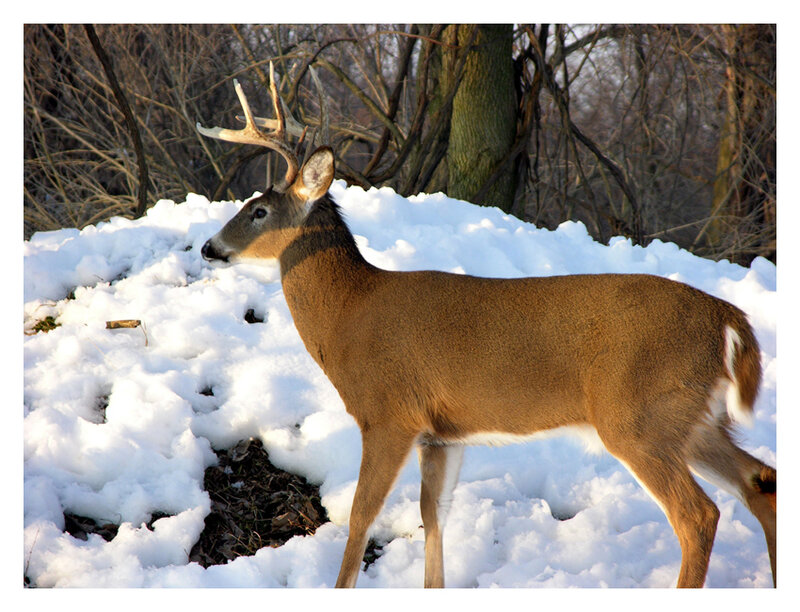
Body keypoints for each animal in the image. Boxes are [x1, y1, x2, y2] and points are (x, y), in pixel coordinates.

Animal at [196, 64, 776, 588]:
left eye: (259, 211)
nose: (208, 246)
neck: (349, 315)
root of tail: (729, 320)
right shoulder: (441, 434)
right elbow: (433, 516)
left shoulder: (389, 413)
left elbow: (362, 517)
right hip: (692, 417)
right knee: (759, 479)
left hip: (638, 415)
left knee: (698, 515)